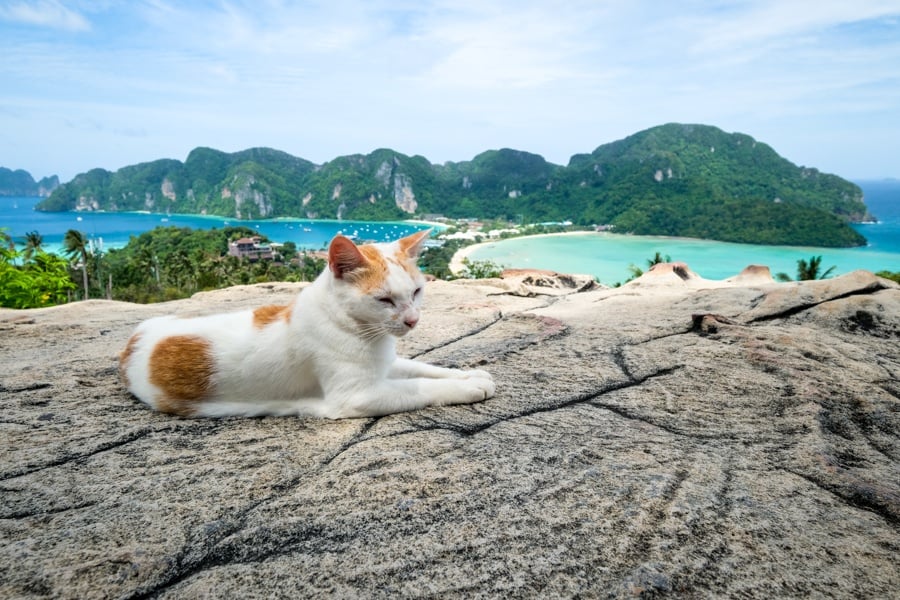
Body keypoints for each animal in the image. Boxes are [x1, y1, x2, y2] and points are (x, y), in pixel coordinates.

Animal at [117, 227, 496, 420]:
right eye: (385, 300)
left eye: (417, 292)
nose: (413, 320)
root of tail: (132, 342)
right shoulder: (357, 396)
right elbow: (419, 388)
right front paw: (469, 387)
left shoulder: (388, 364)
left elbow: (425, 368)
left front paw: (469, 374)